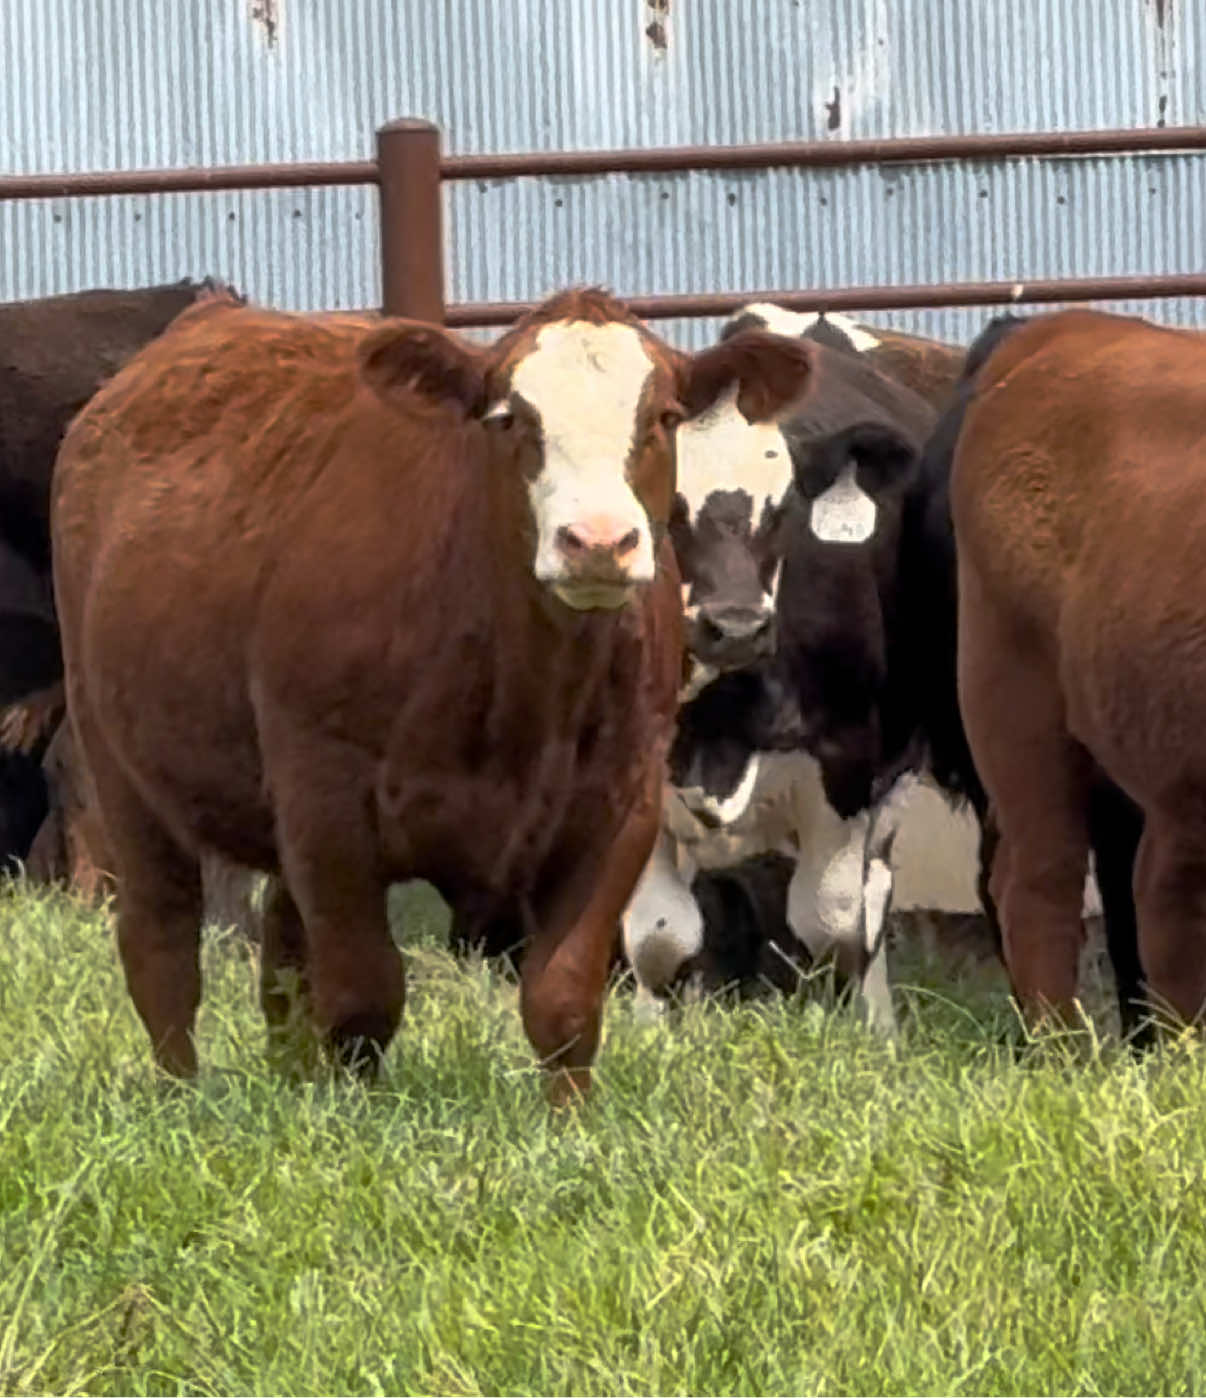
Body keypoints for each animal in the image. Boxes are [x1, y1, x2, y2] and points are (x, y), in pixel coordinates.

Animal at [50, 286, 811, 1099]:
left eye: (664, 417)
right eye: (509, 419)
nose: (599, 542)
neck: (522, 694)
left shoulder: (621, 805)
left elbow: (565, 997)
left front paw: (570, 1119)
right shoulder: (326, 800)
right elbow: (362, 995)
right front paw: (353, 1112)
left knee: (282, 961)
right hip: (121, 768)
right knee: (161, 942)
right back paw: (183, 1092)